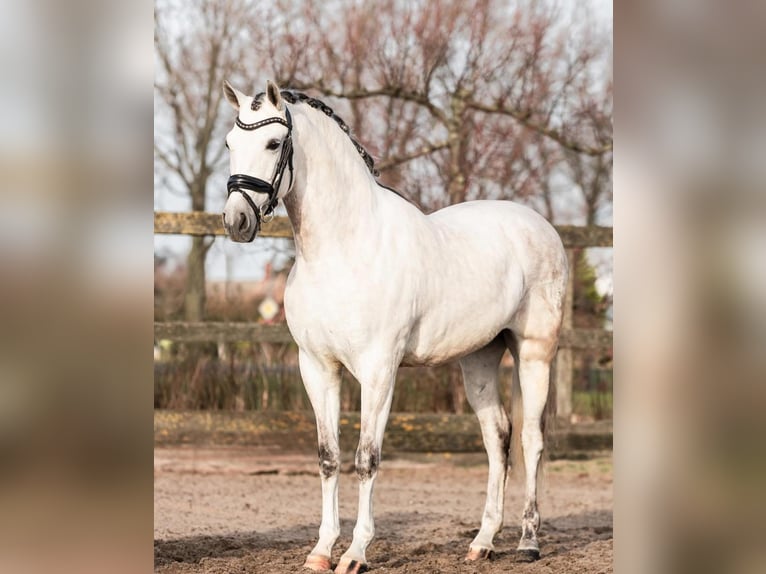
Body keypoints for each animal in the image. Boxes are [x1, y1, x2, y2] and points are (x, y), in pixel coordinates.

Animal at [222, 81, 568, 574]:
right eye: (230, 143)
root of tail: (541, 227)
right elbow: (329, 457)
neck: (343, 248)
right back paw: (482, 542)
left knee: (531, 440)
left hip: (534, 352)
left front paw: (355, 554)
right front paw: (321, 551)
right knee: (497, 437)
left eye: (273, 143)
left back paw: (528, 542)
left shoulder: (378, 371)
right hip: (479, 359)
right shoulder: (317, 368)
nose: (237, 221)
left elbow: (367, 458)